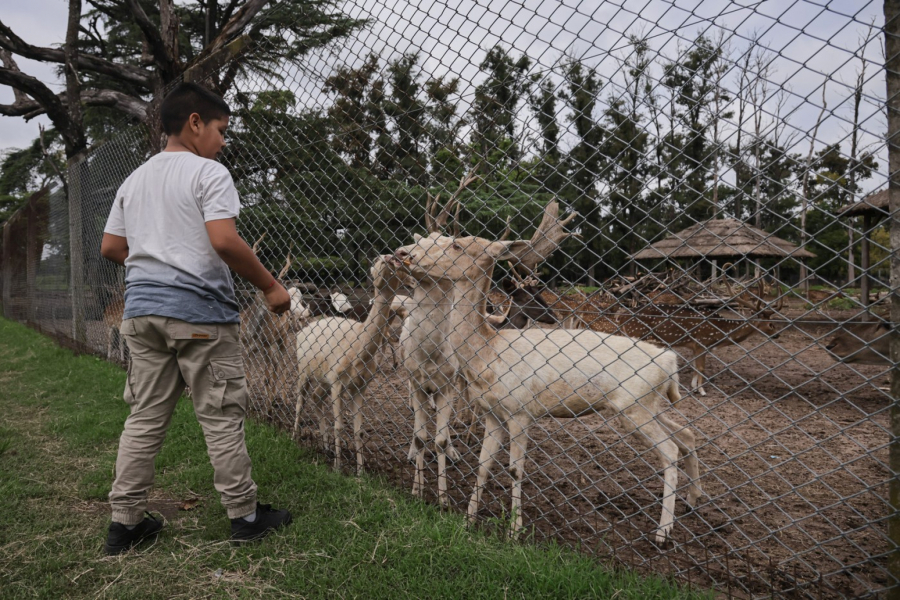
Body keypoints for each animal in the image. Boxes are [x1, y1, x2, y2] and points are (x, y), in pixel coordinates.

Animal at [396, 200, 704, 544]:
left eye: (455, 244)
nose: (406, 255)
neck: (489, 354)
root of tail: (670, 363)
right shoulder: (492, 412)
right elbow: (483, 465)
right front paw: (468, 519)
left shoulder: (520, 410)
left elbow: (515, 469)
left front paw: (514, 531)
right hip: (647, 404)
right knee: (686, 434)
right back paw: (692, 500)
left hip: (634, 407)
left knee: (670, 450)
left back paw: (663, 532)